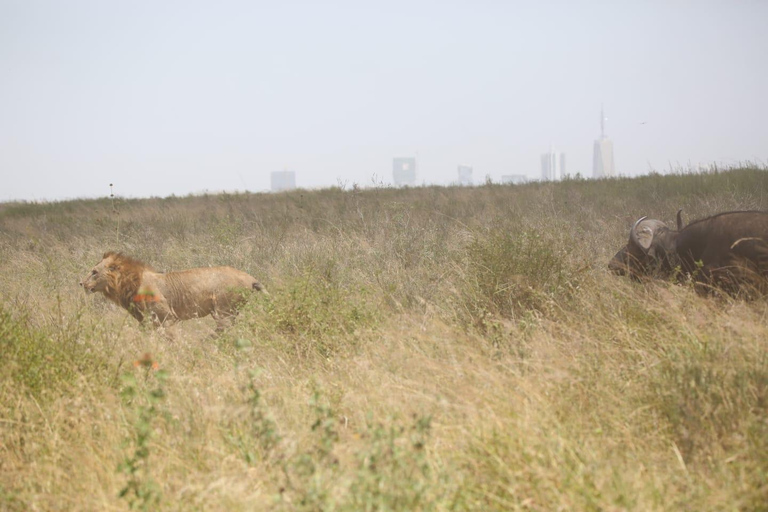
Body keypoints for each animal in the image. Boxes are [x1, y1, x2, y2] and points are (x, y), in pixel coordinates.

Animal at [78, 252, 264, 332]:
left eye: (94, 272)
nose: (81, 283)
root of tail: (251, 277)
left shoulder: (167, 318)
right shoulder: (146, 322)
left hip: (224, 312)